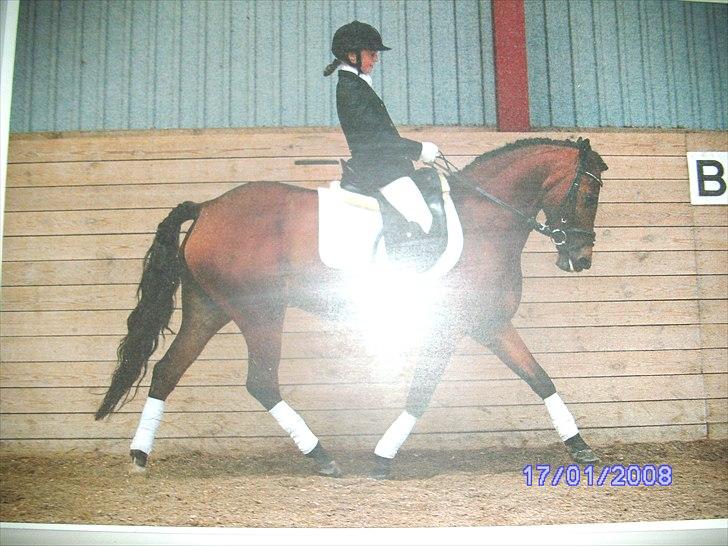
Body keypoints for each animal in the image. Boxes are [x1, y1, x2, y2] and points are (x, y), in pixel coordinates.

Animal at [95, 137, 608, 479]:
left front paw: (580, 448)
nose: (581, 258)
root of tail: (208, 206)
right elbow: (421, 393)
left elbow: (539, 378)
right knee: (261, 381)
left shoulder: (489, 323)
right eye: (588, 194)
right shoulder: (449, 327)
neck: (483, 222)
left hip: (208, 310)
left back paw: (139, 456)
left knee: (166, 371)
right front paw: (382, 458)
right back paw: (322, 457)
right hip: (261, 312)